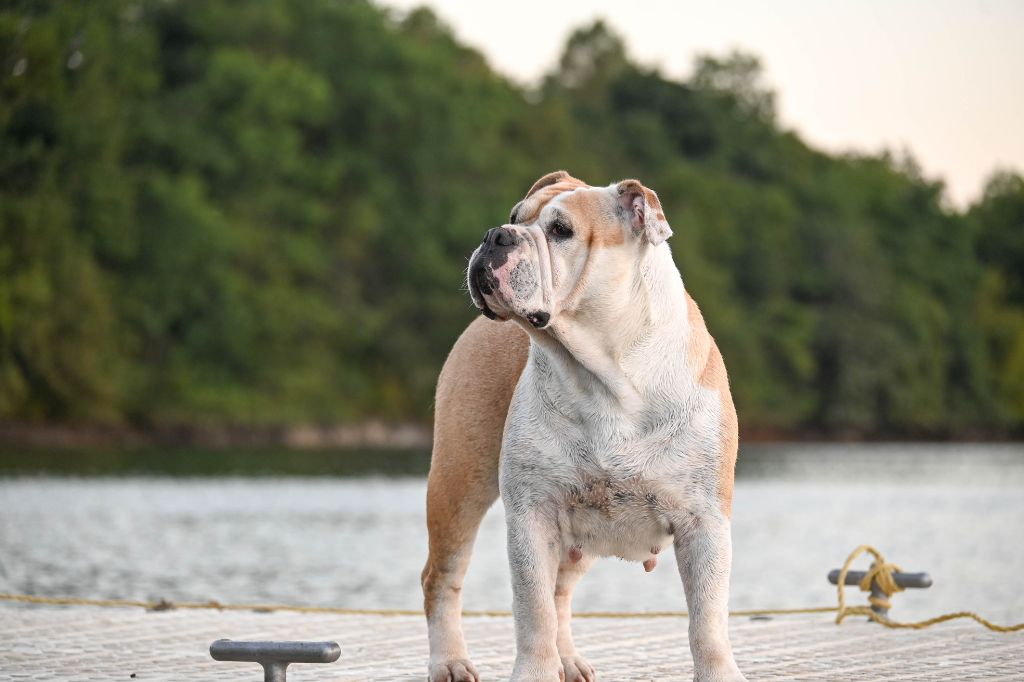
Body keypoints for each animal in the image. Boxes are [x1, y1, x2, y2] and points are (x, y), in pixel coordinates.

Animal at [419, 171, 749, 679]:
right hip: (459, 484)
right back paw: (450, 662)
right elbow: (531, 610)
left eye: (561, 231)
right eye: (515, 216)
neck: (606, 376)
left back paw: (568, 660)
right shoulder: (532, 516)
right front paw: (533, 672)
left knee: (561, 591)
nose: (495, 235)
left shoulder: (704, 522)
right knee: (443, 578)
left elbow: (707, 620)